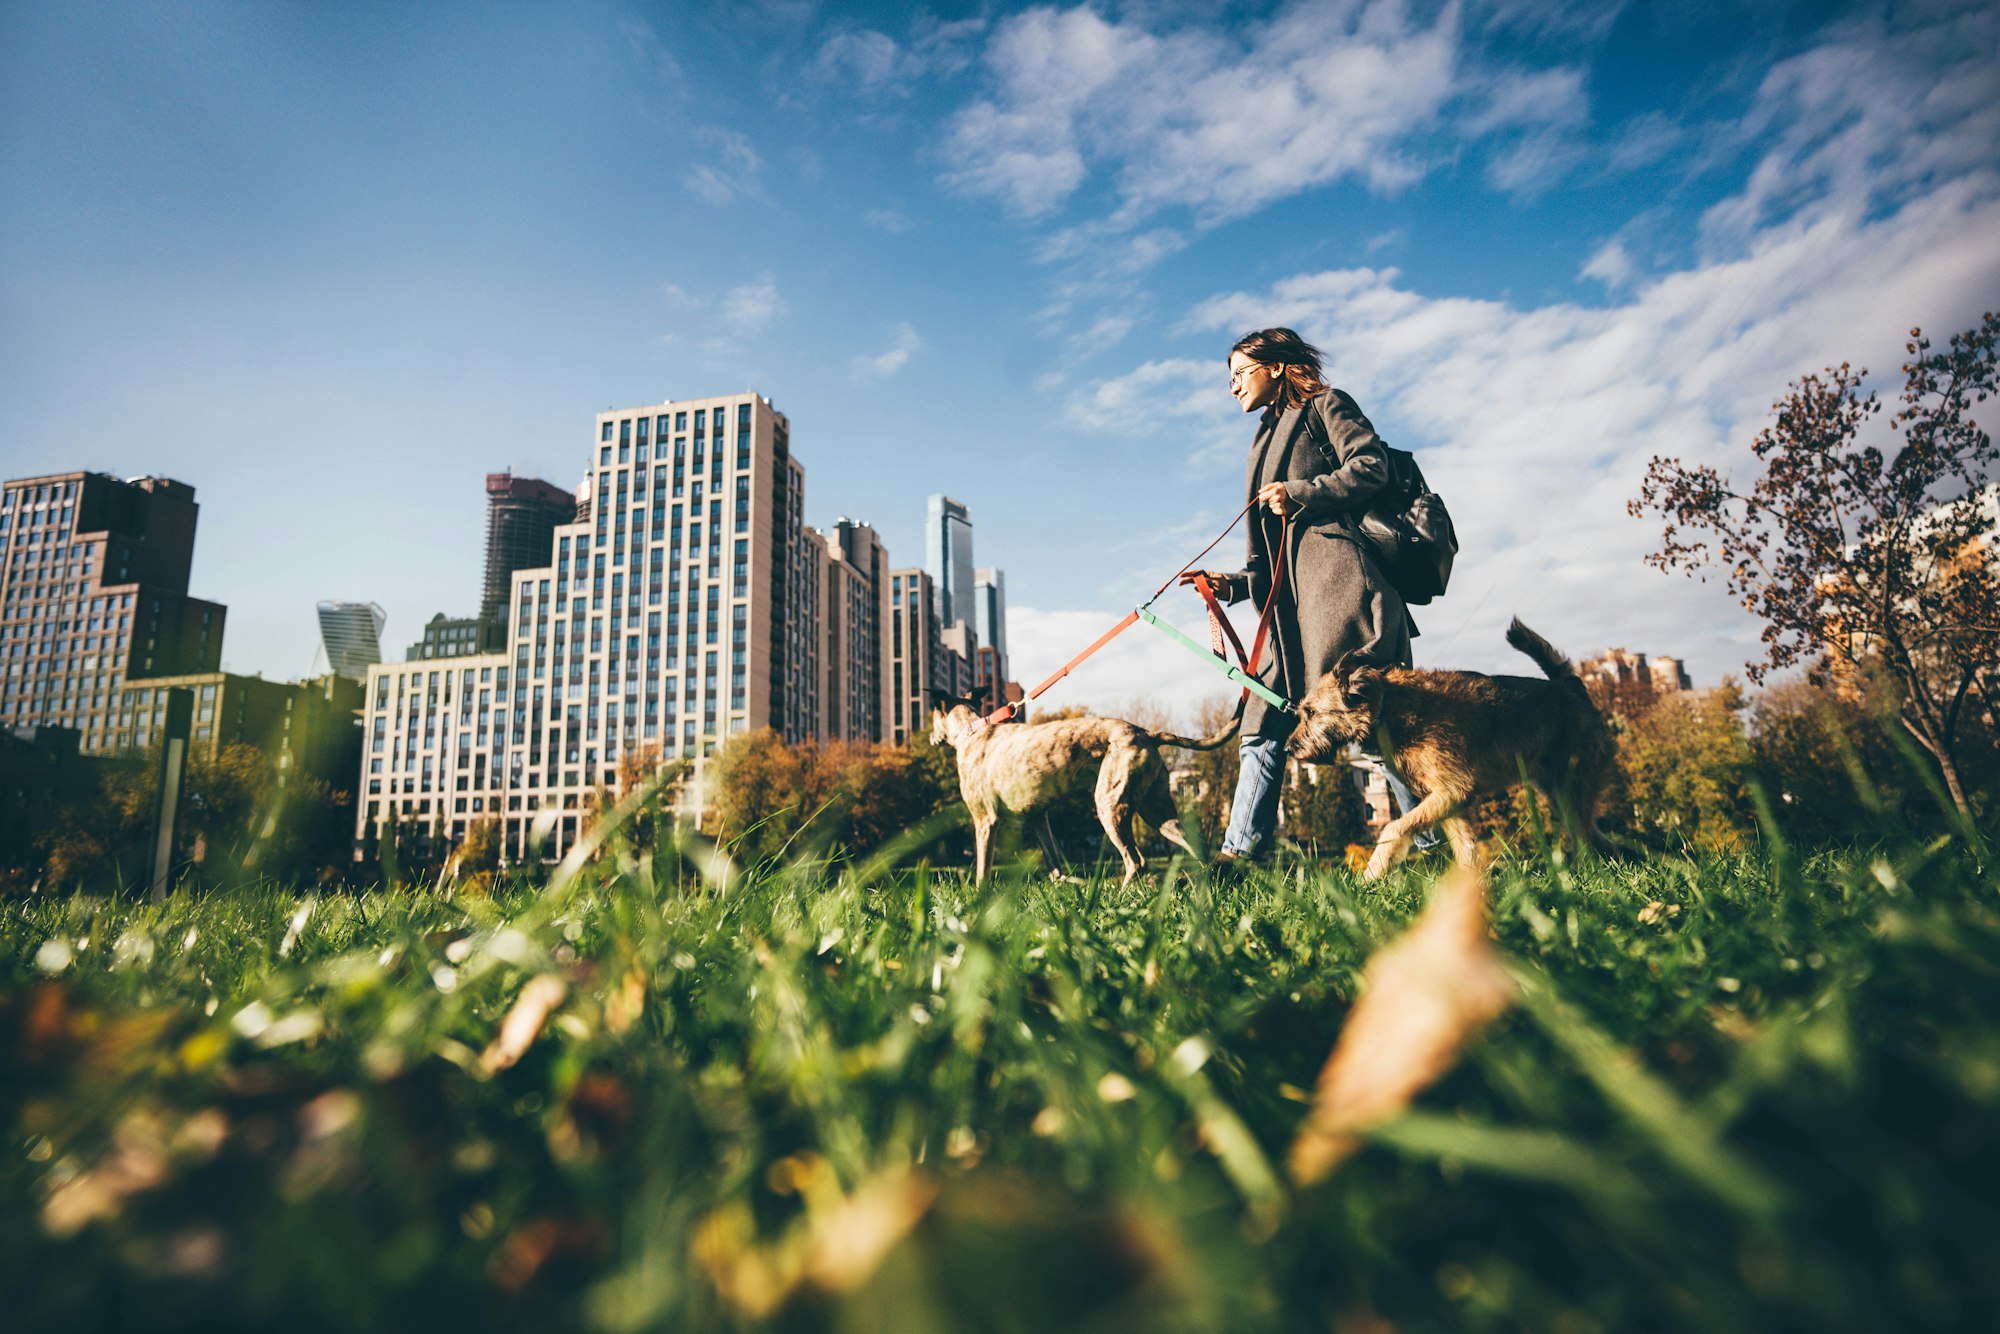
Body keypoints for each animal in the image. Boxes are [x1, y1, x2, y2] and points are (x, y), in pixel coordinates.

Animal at [932, 700, 1232, 888]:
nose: (932, 739)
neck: (974, 731)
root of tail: (1145, 733)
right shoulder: (1039, 820)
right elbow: (1055, 865)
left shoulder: (985, 821)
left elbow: (982, 870)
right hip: (1159, 814)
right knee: (1196, 847)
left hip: (1110, 806)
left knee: (1136, 861)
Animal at [1288, 620, 1616, 880]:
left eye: (1311, 712)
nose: (1290, 748)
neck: (1387, 704)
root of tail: (1570, 686)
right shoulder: (1449, 801)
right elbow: (1466, 845)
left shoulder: (1451, 790)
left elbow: (1393, 828)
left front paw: (1372, 873)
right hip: (1558, 793)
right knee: (1595, 834)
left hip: (1572, 788)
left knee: (1586, 833)